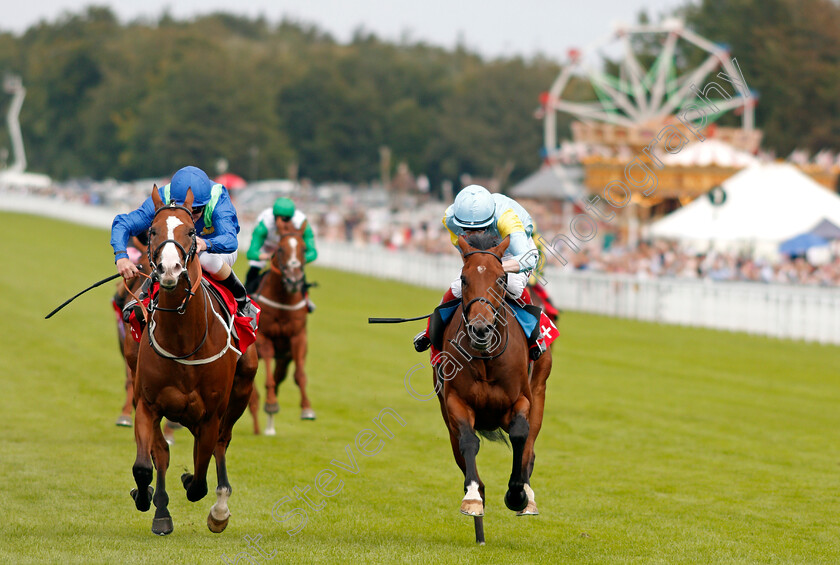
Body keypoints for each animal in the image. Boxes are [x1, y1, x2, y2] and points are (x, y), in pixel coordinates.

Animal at [129, 187, 256, 536]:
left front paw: (196, 488)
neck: (184, 341)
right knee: (161, 454)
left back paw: (220, 508)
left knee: (221, 444)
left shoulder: (210, 415)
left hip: (240, 392)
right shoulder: (147, 404)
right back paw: (160, 511)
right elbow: (145, 465)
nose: (170, 269)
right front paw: (145, 497)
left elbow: (199, 479)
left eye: (190, 232)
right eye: (152, 231)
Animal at [253, 219, 316, 432]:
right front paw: (271, 403)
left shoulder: (298, 338)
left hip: (284, 357)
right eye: (280, 249)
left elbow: (300, 375)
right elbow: (268, 377)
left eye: (304, 249)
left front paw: (307, 409)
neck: (283, 301)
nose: (294, 280)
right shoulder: (264, 337)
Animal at [434, 232, 552, 540]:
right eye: (463, 278)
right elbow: (468, 442)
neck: (486, 356)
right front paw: (473, 498)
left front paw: (517, 495)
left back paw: (528, 496)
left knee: (530, 447)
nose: (480, 328)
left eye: (500, 279)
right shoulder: (456, 402)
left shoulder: (521, 399)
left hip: (540, 390)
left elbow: (521, 436)